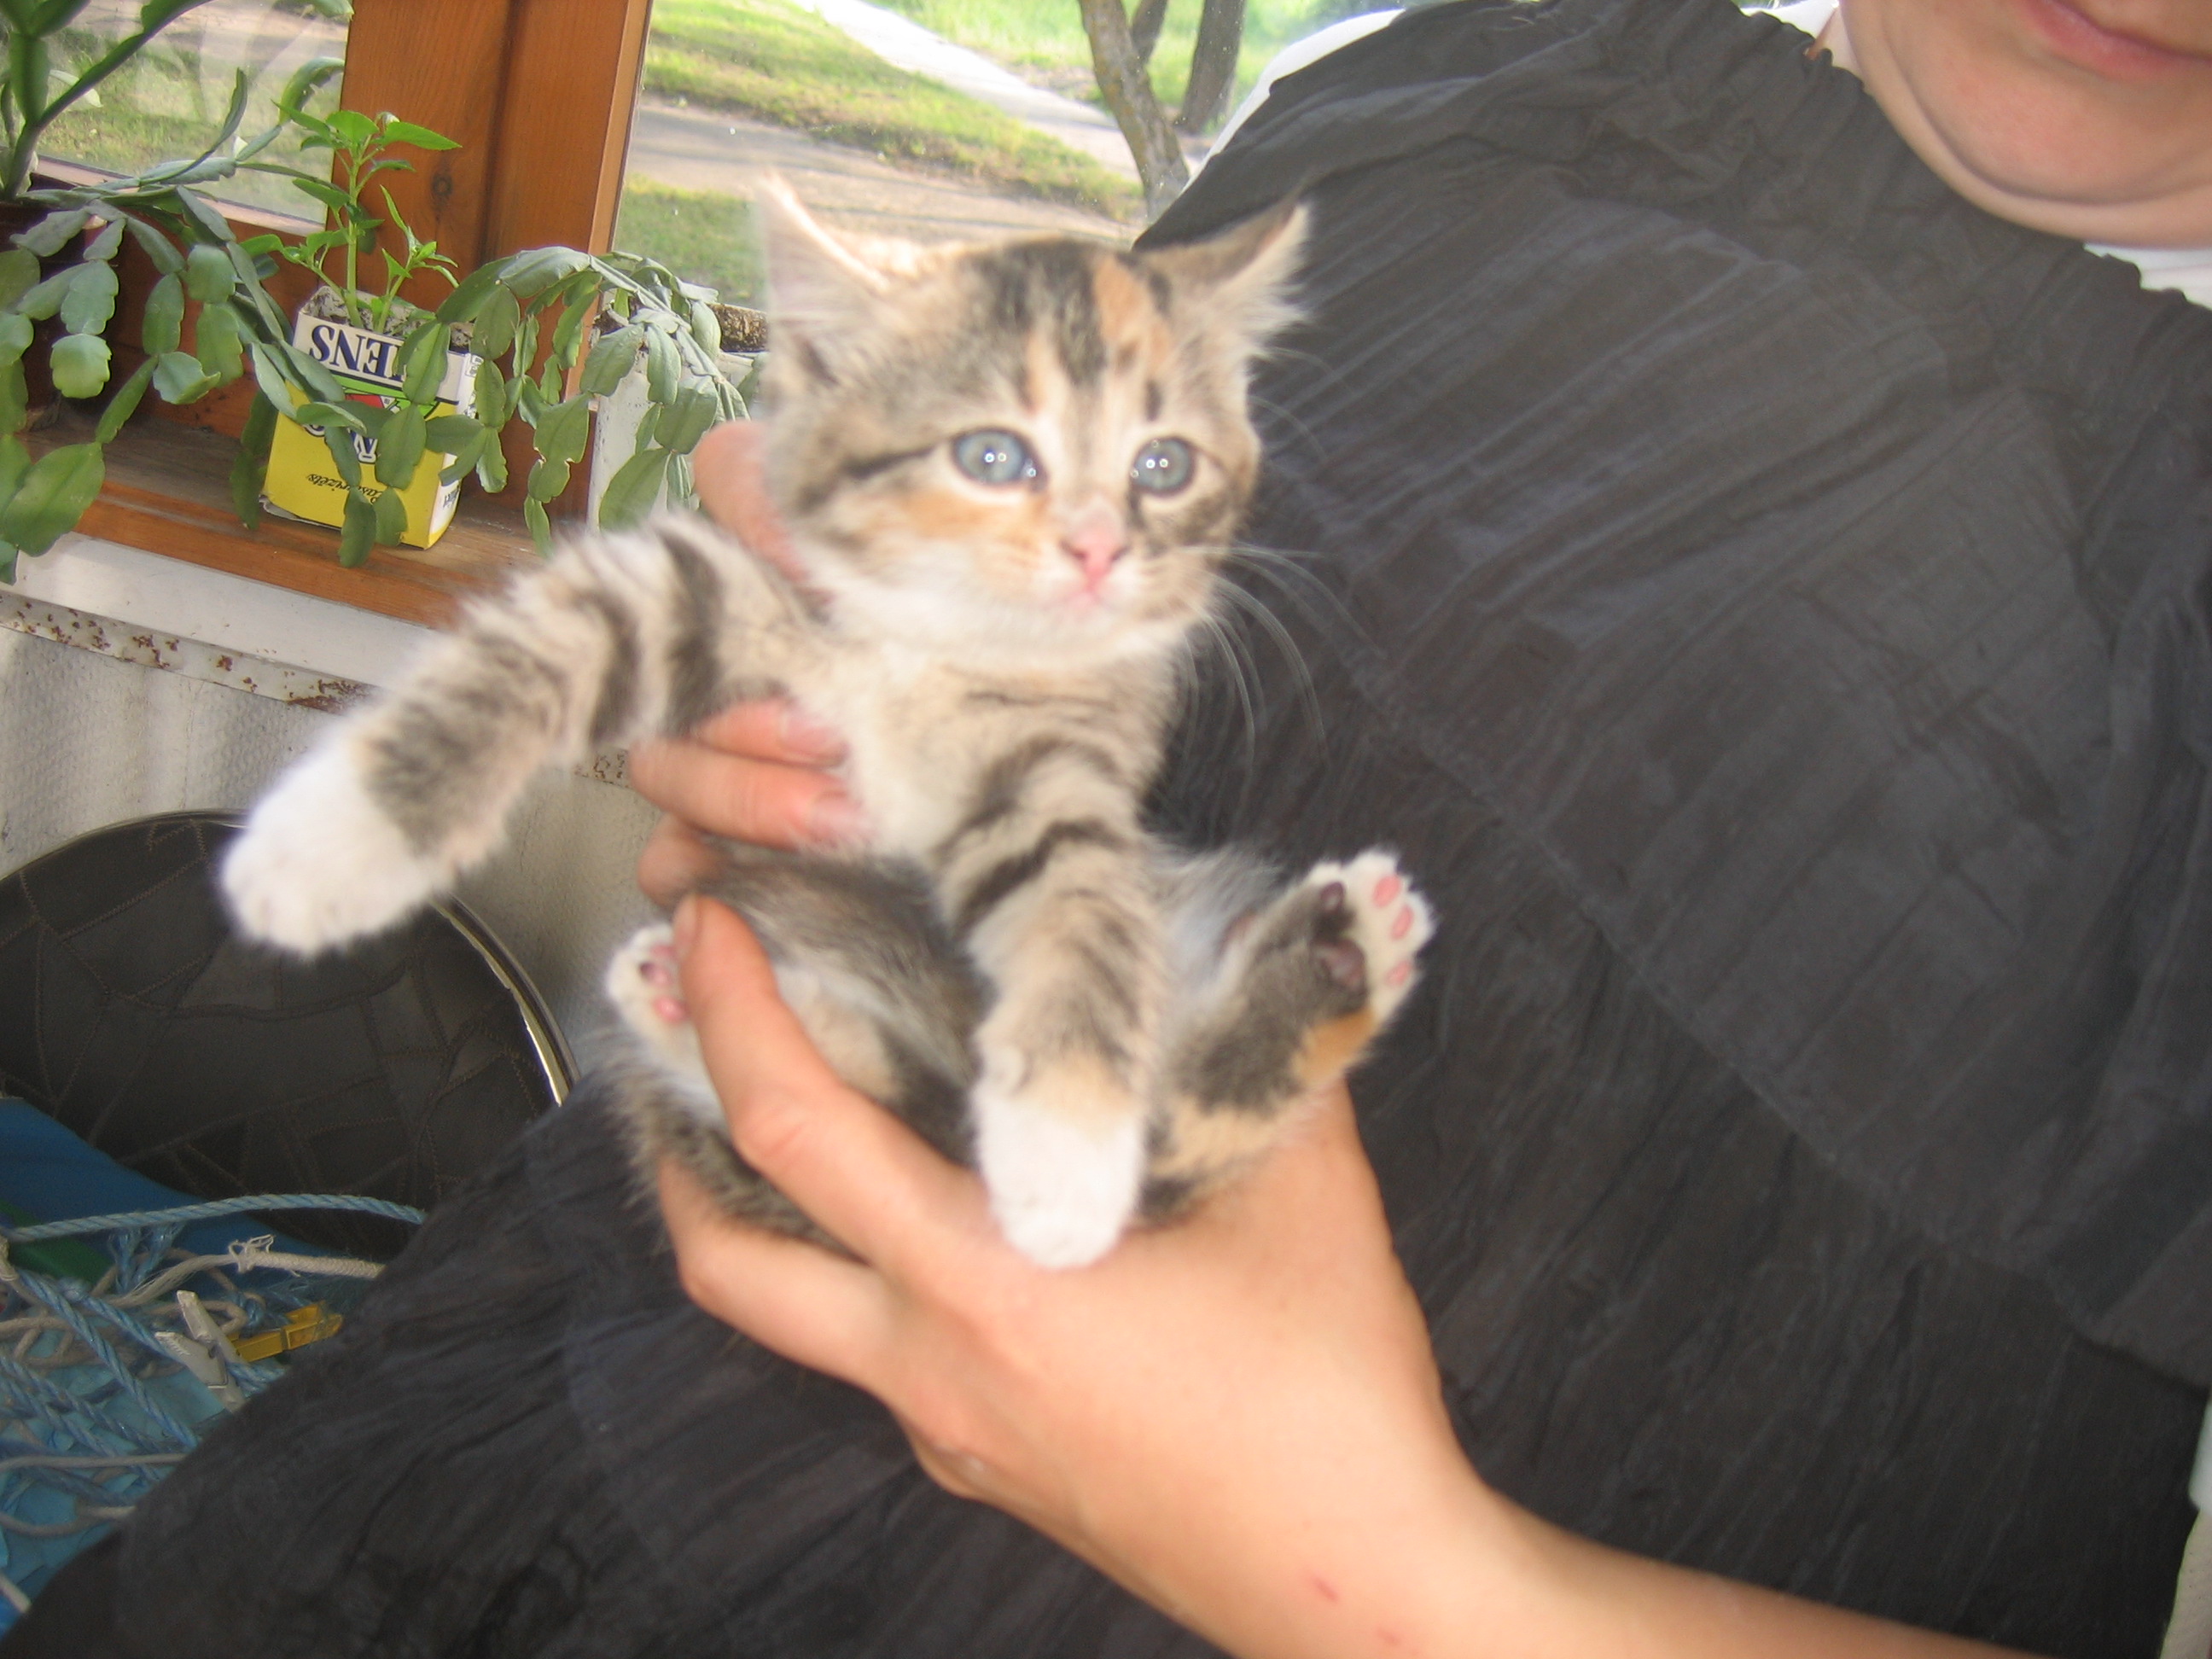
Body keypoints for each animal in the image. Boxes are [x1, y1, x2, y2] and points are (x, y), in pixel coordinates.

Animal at [221, 183, 1433, 1268]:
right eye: (993, 456)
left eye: (1163, 465)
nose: (1099, 549)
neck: (940, 646)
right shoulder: (731, 590)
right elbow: (551, 646)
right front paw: (327, 849)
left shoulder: (1064, 763)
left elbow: (1081, 906)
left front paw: (1067, 1161)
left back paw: (1342, 957)